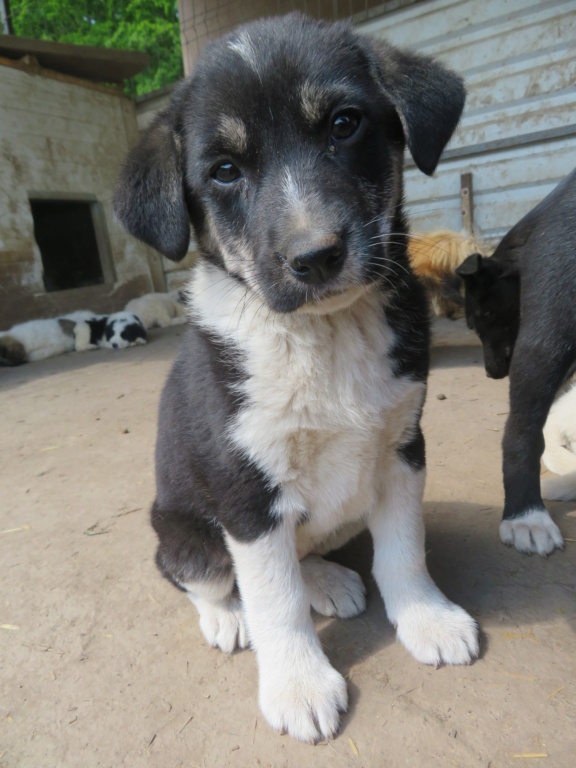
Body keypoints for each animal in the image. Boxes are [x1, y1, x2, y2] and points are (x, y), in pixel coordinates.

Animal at [115, 13, 480, 744]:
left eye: (344, 124)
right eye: (224, 171)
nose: (315, 256)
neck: (324, 335)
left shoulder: (403, 446)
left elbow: (405, 549)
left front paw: (426, 618)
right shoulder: (244, 489)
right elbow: (273, 598)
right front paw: (298, 685)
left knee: (305, 551)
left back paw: (327, 581)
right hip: (182, 529)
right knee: (200, 576)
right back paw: (228, 618)